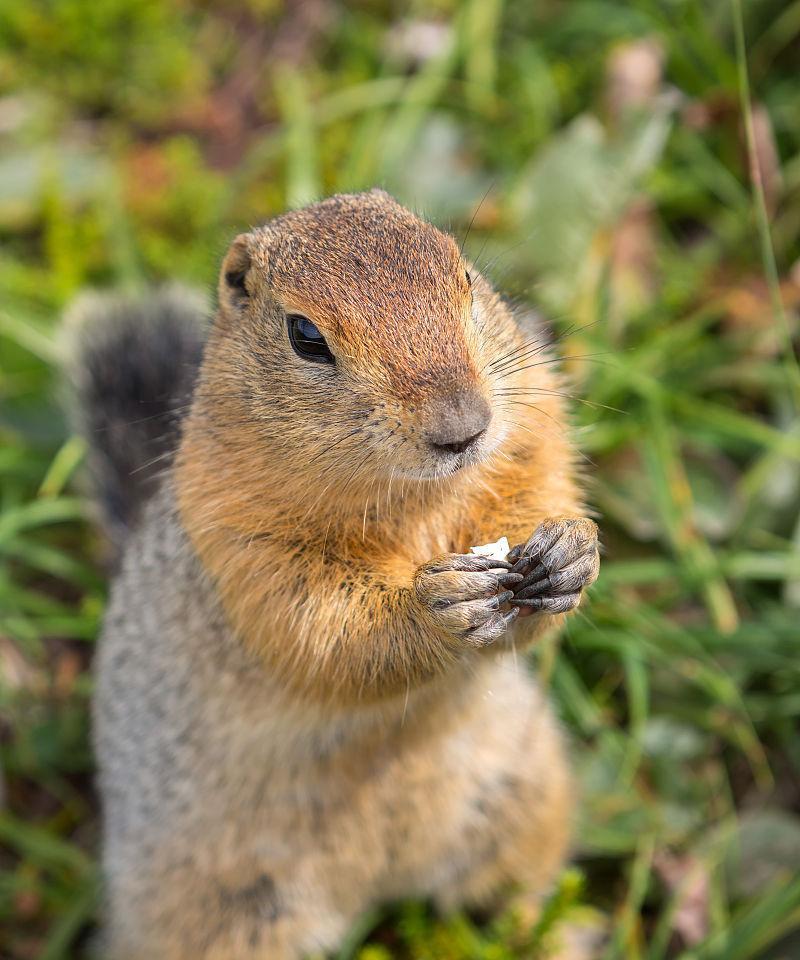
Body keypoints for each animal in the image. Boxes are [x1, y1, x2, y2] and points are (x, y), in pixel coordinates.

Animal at [73, 189, 600, 960]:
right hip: (213, 911)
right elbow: (324, 632)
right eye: (305, 337)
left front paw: (570, 550)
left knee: (513, 891)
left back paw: (560, 933)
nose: (464, 426)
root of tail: (382, 884)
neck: (414, 500)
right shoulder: (240, 544)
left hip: (524, 791)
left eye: (466, 276)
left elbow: (543, 488)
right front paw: (435, 608)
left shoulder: (532, 428)